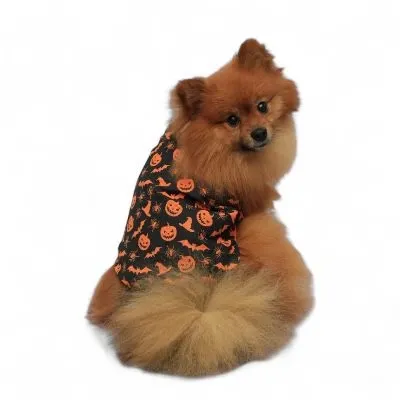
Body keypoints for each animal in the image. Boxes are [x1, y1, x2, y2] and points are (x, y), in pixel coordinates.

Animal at [87, 39, 313, 376]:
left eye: (262, 106)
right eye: (232, 120)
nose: (259, 133)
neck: (216, 147)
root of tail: (199, 301)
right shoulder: (250, 201)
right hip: (258, 232)